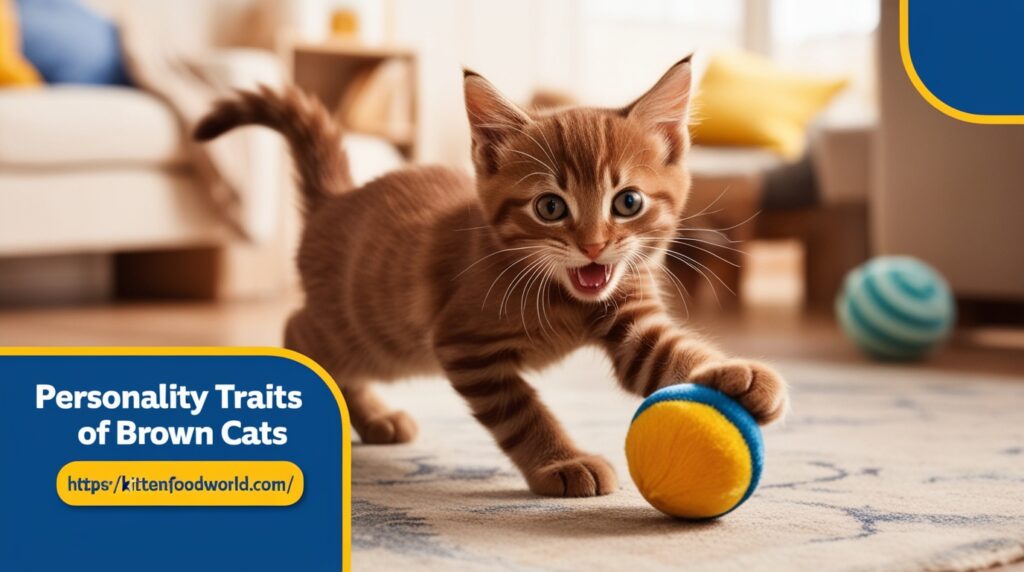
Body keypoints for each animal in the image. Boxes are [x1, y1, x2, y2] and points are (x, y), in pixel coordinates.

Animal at [195, 56, 786, 499]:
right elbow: (520, 410)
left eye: (628, 202)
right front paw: (560, 463)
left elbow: (672, 354)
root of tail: (337, 199)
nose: (593, 245)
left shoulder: (632, 321)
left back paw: (373, 417)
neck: (560, 294)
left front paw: (739, 374)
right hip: (373, 335)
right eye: (550, 207)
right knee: (298, 330)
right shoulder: (464, 342)